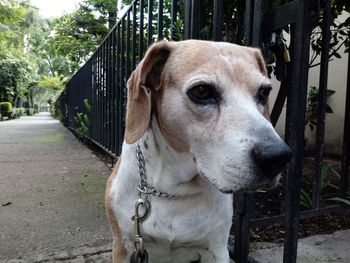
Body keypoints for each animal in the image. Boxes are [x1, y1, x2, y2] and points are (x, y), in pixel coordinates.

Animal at [105, 39, 294, 263]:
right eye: (202, 91)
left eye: (264, 92)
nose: (277, 157)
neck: (173, 191)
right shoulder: (123, 246)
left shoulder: (217, 249)